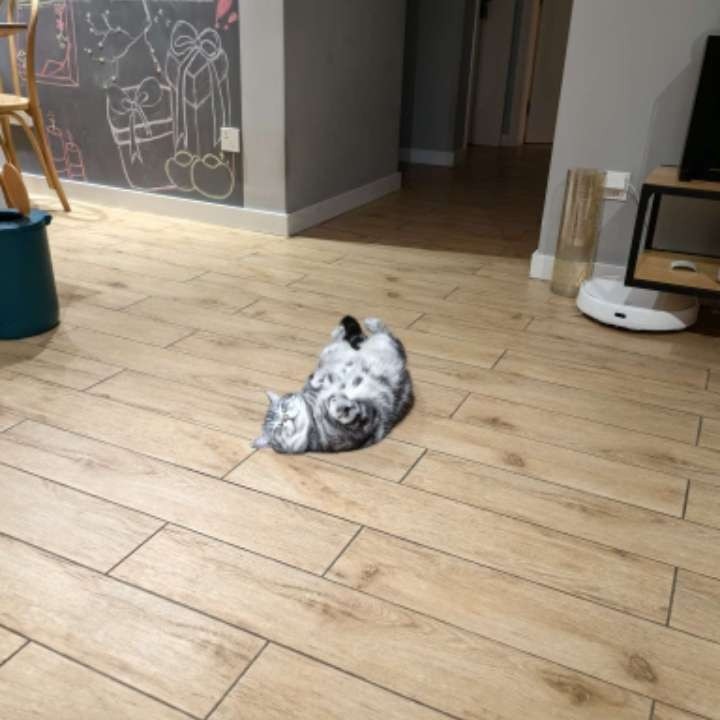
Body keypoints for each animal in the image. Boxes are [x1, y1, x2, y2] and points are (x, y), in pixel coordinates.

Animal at [252, 316, 414, 454]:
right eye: (277, 427)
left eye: (283, 407)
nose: (285, 418)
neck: (312, 413)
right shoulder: (363, 423)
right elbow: (346, 411)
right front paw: (334, 401)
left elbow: (315, 379)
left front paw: (322, 381)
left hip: (345, 347)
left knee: (377, 335)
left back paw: (361, 326)